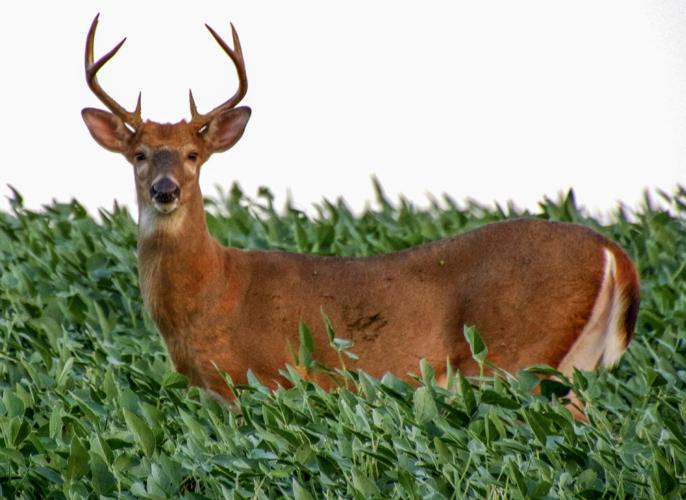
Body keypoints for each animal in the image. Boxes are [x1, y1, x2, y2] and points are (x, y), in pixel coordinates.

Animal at [81, 15, 640, 415]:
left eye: (193, 155)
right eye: (140, 154)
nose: (165, 190)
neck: (213, 293)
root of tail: (613, 253)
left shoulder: (265, 381)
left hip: (516, 355)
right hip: (569, 364)